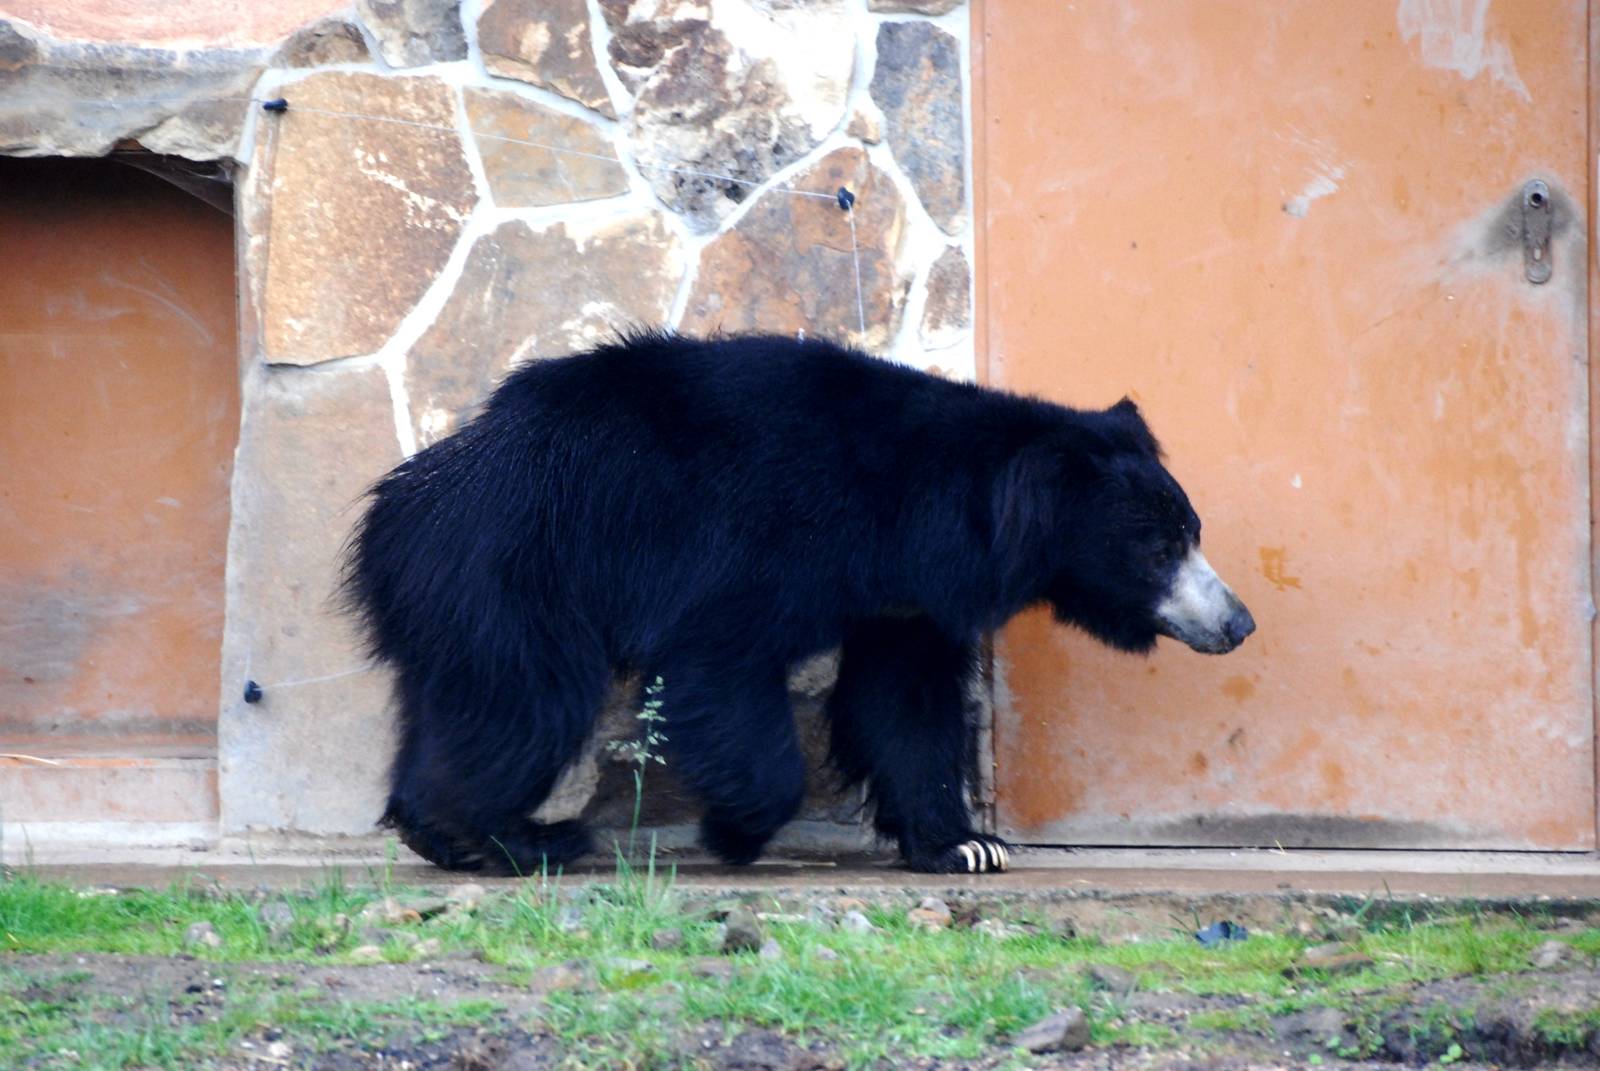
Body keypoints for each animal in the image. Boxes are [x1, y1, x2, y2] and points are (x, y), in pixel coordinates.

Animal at [342, 331, 1255, 875]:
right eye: (1159, 548)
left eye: (1193, 531)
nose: (1238, 622)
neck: (917, 510)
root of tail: (401, 503)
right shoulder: (754, 541)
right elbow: (721, 665)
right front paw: (734, 831)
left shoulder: (905, 600)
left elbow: (905, 704)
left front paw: (967, 845)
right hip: (515, 570)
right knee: (524, 704)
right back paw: (514, 836)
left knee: (460, 703)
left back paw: (437, 829)